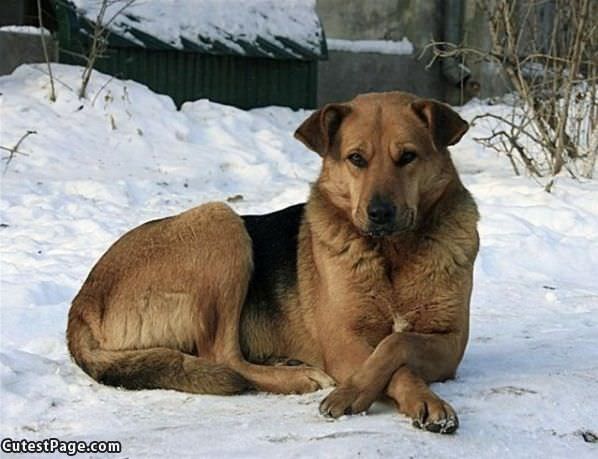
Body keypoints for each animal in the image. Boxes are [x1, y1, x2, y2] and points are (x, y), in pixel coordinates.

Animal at [68, 90, 480, 434]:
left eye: (408, 157)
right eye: (356, 159)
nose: (379, 214)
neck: (391, 254)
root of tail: (82, 303)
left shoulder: (451, 342)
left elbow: (396, 345)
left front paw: (418, 400)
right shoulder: (344, 343)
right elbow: (395, 360)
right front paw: (354, 393)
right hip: (221, 224)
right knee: (224, 357)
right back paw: (296, 378)